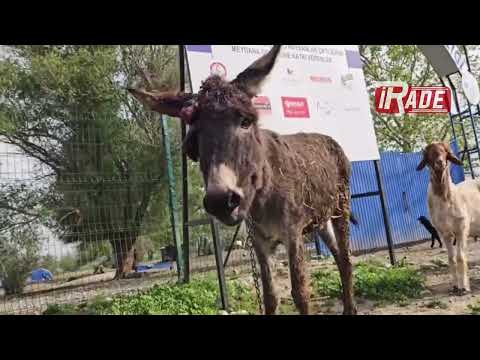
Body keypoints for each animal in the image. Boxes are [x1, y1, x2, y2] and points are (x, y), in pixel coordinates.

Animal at [416, 142, 480, 294]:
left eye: (445, 152)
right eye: (429, 154)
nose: (440, 162)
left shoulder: (461, 228)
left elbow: (460, 257)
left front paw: (464, 287)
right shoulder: (444, 233)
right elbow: (451, 258)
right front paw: (455, 286)